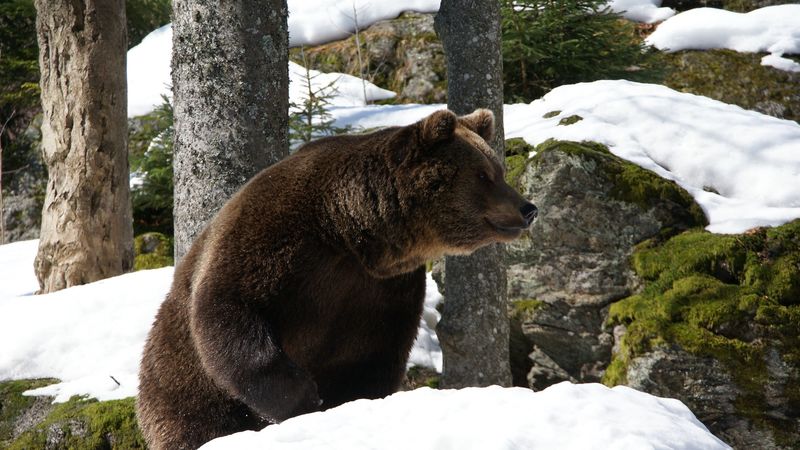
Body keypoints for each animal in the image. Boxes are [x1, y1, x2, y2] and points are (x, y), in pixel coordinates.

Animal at [136, 108, 538, 449]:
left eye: (498, 170)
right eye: (484, 175)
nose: (528, 208)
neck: (350, 231)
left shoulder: (380, 290)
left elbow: (371, 357)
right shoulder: (273, 238)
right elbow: (228, 309)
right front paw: (302, 396)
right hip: (178, 383)